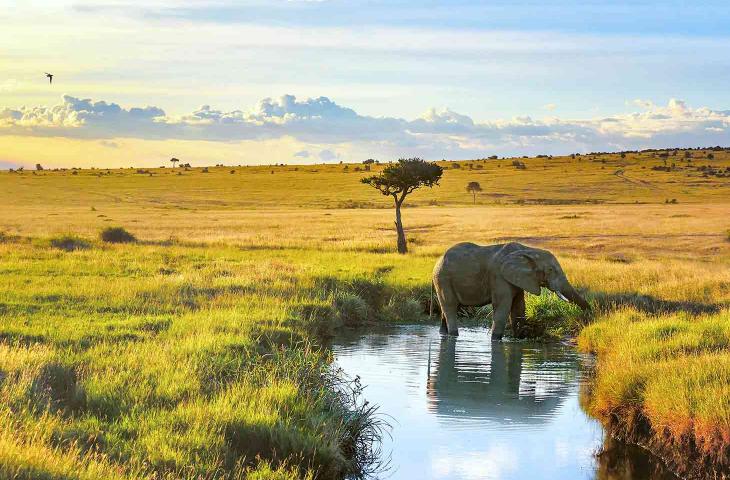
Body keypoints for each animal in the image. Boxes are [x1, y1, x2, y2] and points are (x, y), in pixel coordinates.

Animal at [430, 242, 588, 340]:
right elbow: (502, 307)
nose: (588, 316)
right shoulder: (498, 276)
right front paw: (495, 339)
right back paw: (453, 335)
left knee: (447, 309)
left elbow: (519, 308)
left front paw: (519, 337)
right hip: (443, 279)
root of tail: (437, 262)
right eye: (550, 270)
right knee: (450, 307)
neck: (529, 249)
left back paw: (443, 334)